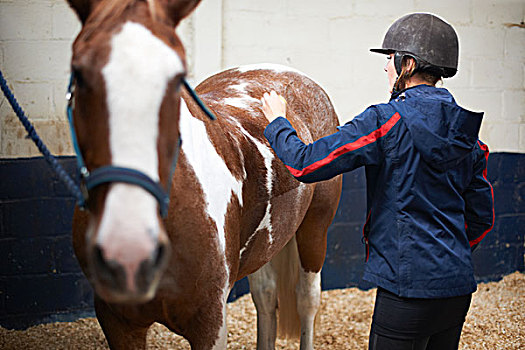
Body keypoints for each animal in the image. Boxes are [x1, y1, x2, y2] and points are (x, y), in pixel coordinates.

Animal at [66, 0, 340, 348]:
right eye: (78, 73)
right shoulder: (117, 322)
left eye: (176, 78)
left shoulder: (210, 323)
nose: (127, 247)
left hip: (315, 227)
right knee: (266, 297)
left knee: (307, 299)